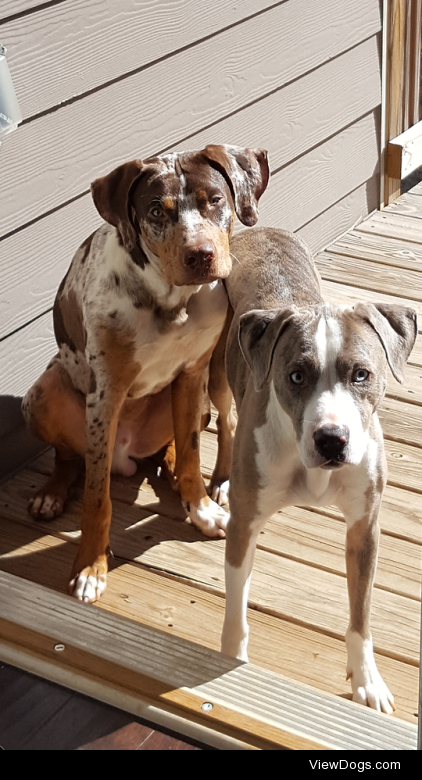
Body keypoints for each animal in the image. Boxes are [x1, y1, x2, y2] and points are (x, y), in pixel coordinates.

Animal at [21, 145, 268, 604]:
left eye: (215, 200)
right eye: (156, 210)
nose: (200, 255)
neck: (171, 301)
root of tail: (127, 458)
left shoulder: (192, 374)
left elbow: (190, 454)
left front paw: (200, 509)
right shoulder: (106, 394)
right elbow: (97, 499)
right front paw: (90, 566)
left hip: (201, 400)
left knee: (173, 444)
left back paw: (170, 474)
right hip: (42, 396)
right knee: (69, 457)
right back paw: (52, 492)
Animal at [219, 225, 418, 712]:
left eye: (362, 374)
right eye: (295, 375)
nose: (331, 439)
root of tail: (255, 228)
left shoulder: (365, 529)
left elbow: (361, 615)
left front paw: (367, 680)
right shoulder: (243, 526)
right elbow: (236, 608)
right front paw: (229, 662)